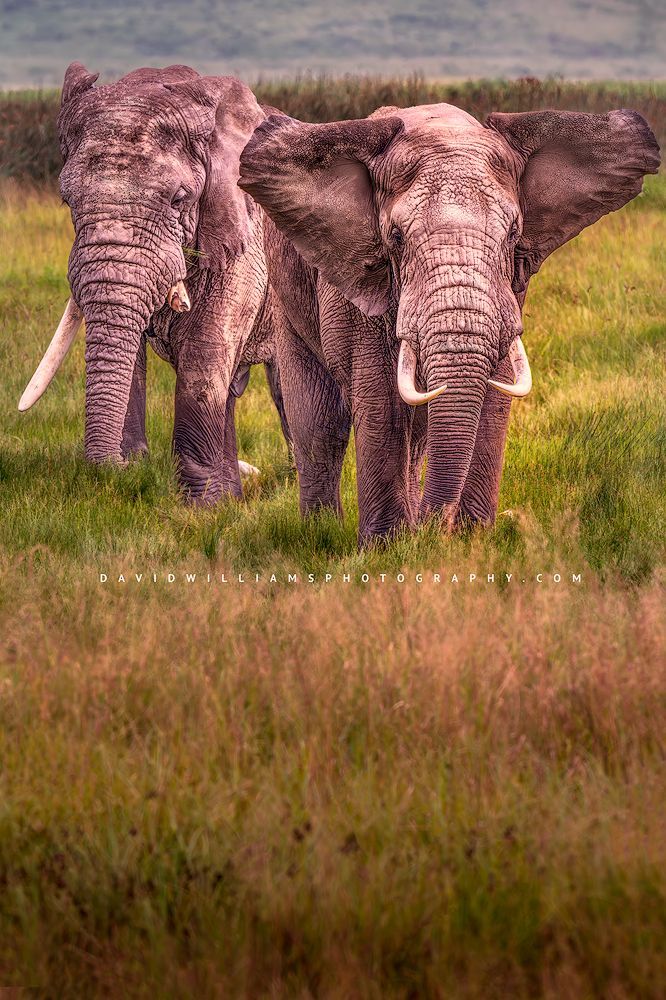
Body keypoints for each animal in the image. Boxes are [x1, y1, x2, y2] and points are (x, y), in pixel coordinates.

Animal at [19, 62, 291, 503]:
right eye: (66, 201)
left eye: (178, 199)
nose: (122, 469)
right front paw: (212, 502)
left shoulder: (246, 236)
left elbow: (205, 349)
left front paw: (200, 507)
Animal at [238, 103, 660, 543]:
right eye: (395, 237)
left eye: (514, 234)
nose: (437, 526)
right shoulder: (357, 275)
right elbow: (377, 394)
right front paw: (387, 546)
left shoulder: (511, 286)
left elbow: (497, 389)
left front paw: (471, 537)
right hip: (286, 295)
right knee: (320, 423)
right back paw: (323, 530)